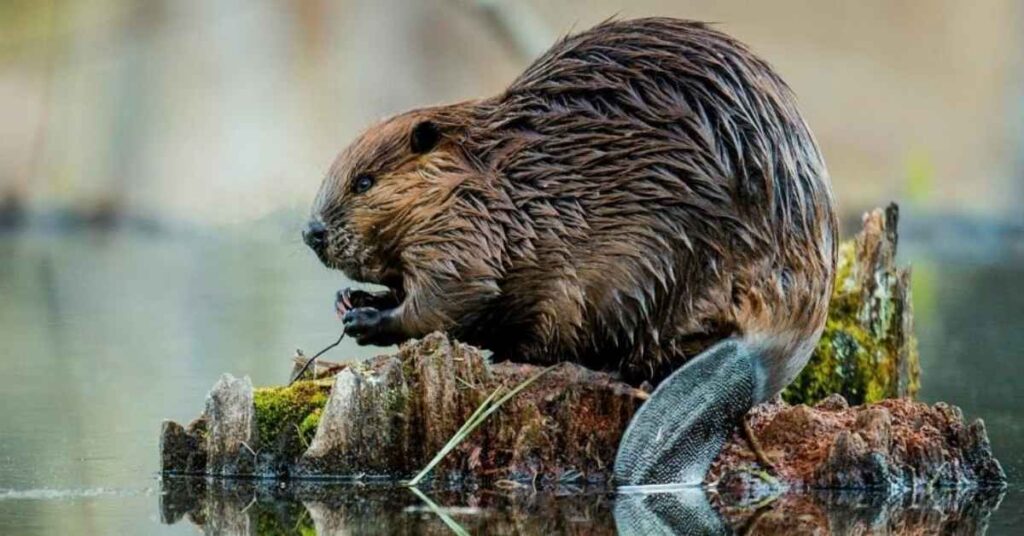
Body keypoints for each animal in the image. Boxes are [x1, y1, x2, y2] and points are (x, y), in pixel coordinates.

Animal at [301, 17, 831, 485]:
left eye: (364, 182)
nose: (312, 232)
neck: (488, 175)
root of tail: (760, 356)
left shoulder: (469, 231)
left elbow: (453, 297)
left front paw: (366, 318)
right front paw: (351, 299)